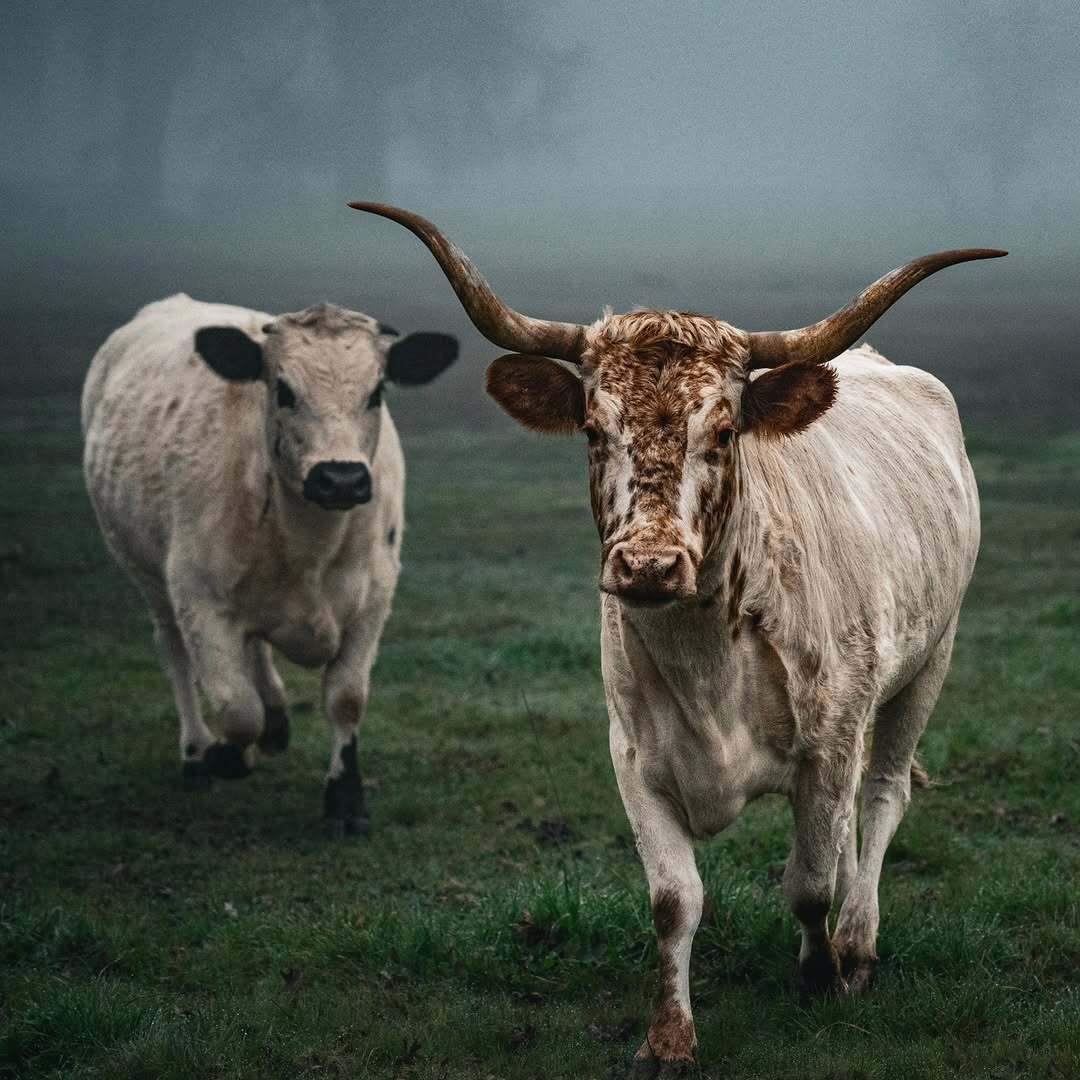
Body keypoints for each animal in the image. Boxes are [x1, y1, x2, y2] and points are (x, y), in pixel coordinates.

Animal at [82, 294, 457, 835]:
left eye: (377, 390)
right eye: (283, 389)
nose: (340, 478)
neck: (308, 542)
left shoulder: (374, 599)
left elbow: (346, 697)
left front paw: (345, 800)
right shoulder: (197, 596)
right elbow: (236, 707)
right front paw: (226, 756)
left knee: (255, 650)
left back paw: (277, 721)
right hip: (148, 578)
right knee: (177, 656)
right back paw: (196, 753)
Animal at [348, 202, 1004, 1071]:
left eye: (723, 432)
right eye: (593, 430)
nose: (649, 564)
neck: (706, 661)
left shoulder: (829, 741)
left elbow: (809, 882)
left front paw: (820, 974)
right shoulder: (635, 758)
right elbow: (675, 901)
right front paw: (668, 1038)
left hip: (932, 657)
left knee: (883, 794)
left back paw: (859, 945)